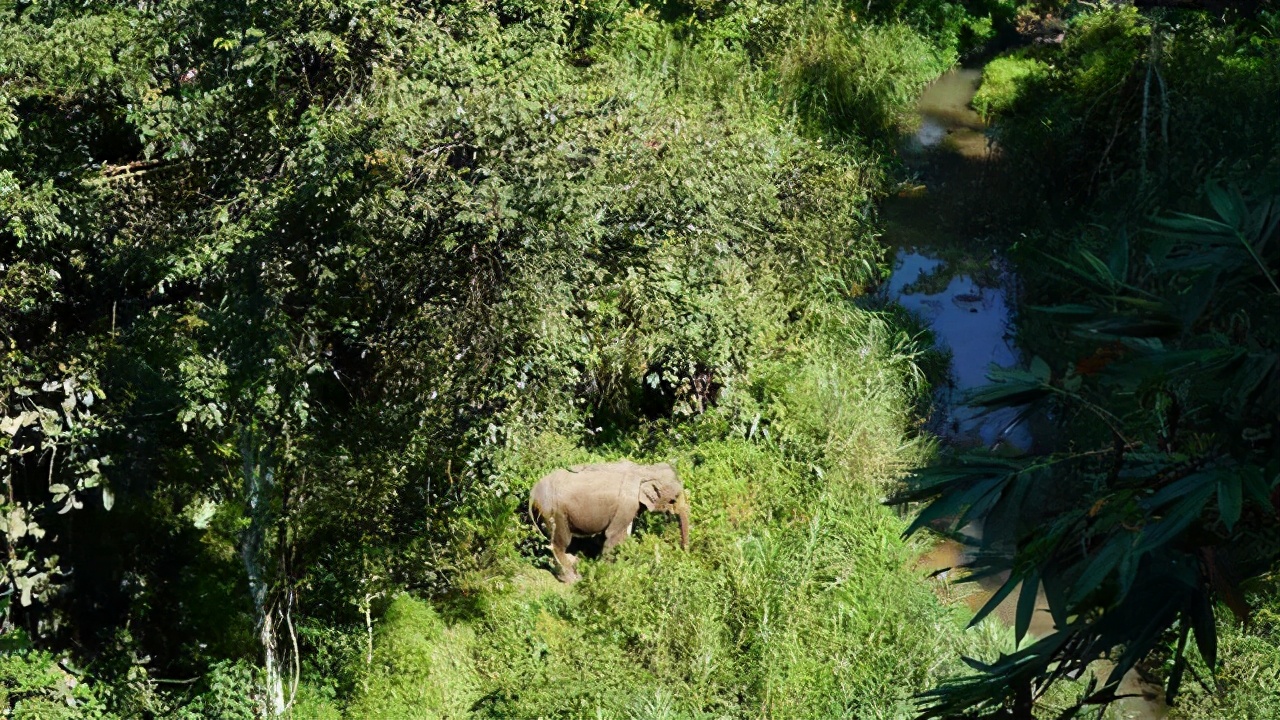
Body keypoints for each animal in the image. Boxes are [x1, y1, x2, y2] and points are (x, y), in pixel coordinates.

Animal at [529, 458, 691, 584]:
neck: (645, 469)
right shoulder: (626, 504)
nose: (682, 554)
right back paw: (572, 579)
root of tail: (532, 493)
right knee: (560, 542)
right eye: (674, 499)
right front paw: (607, 574)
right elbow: (614, 536)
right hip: (555, 512)